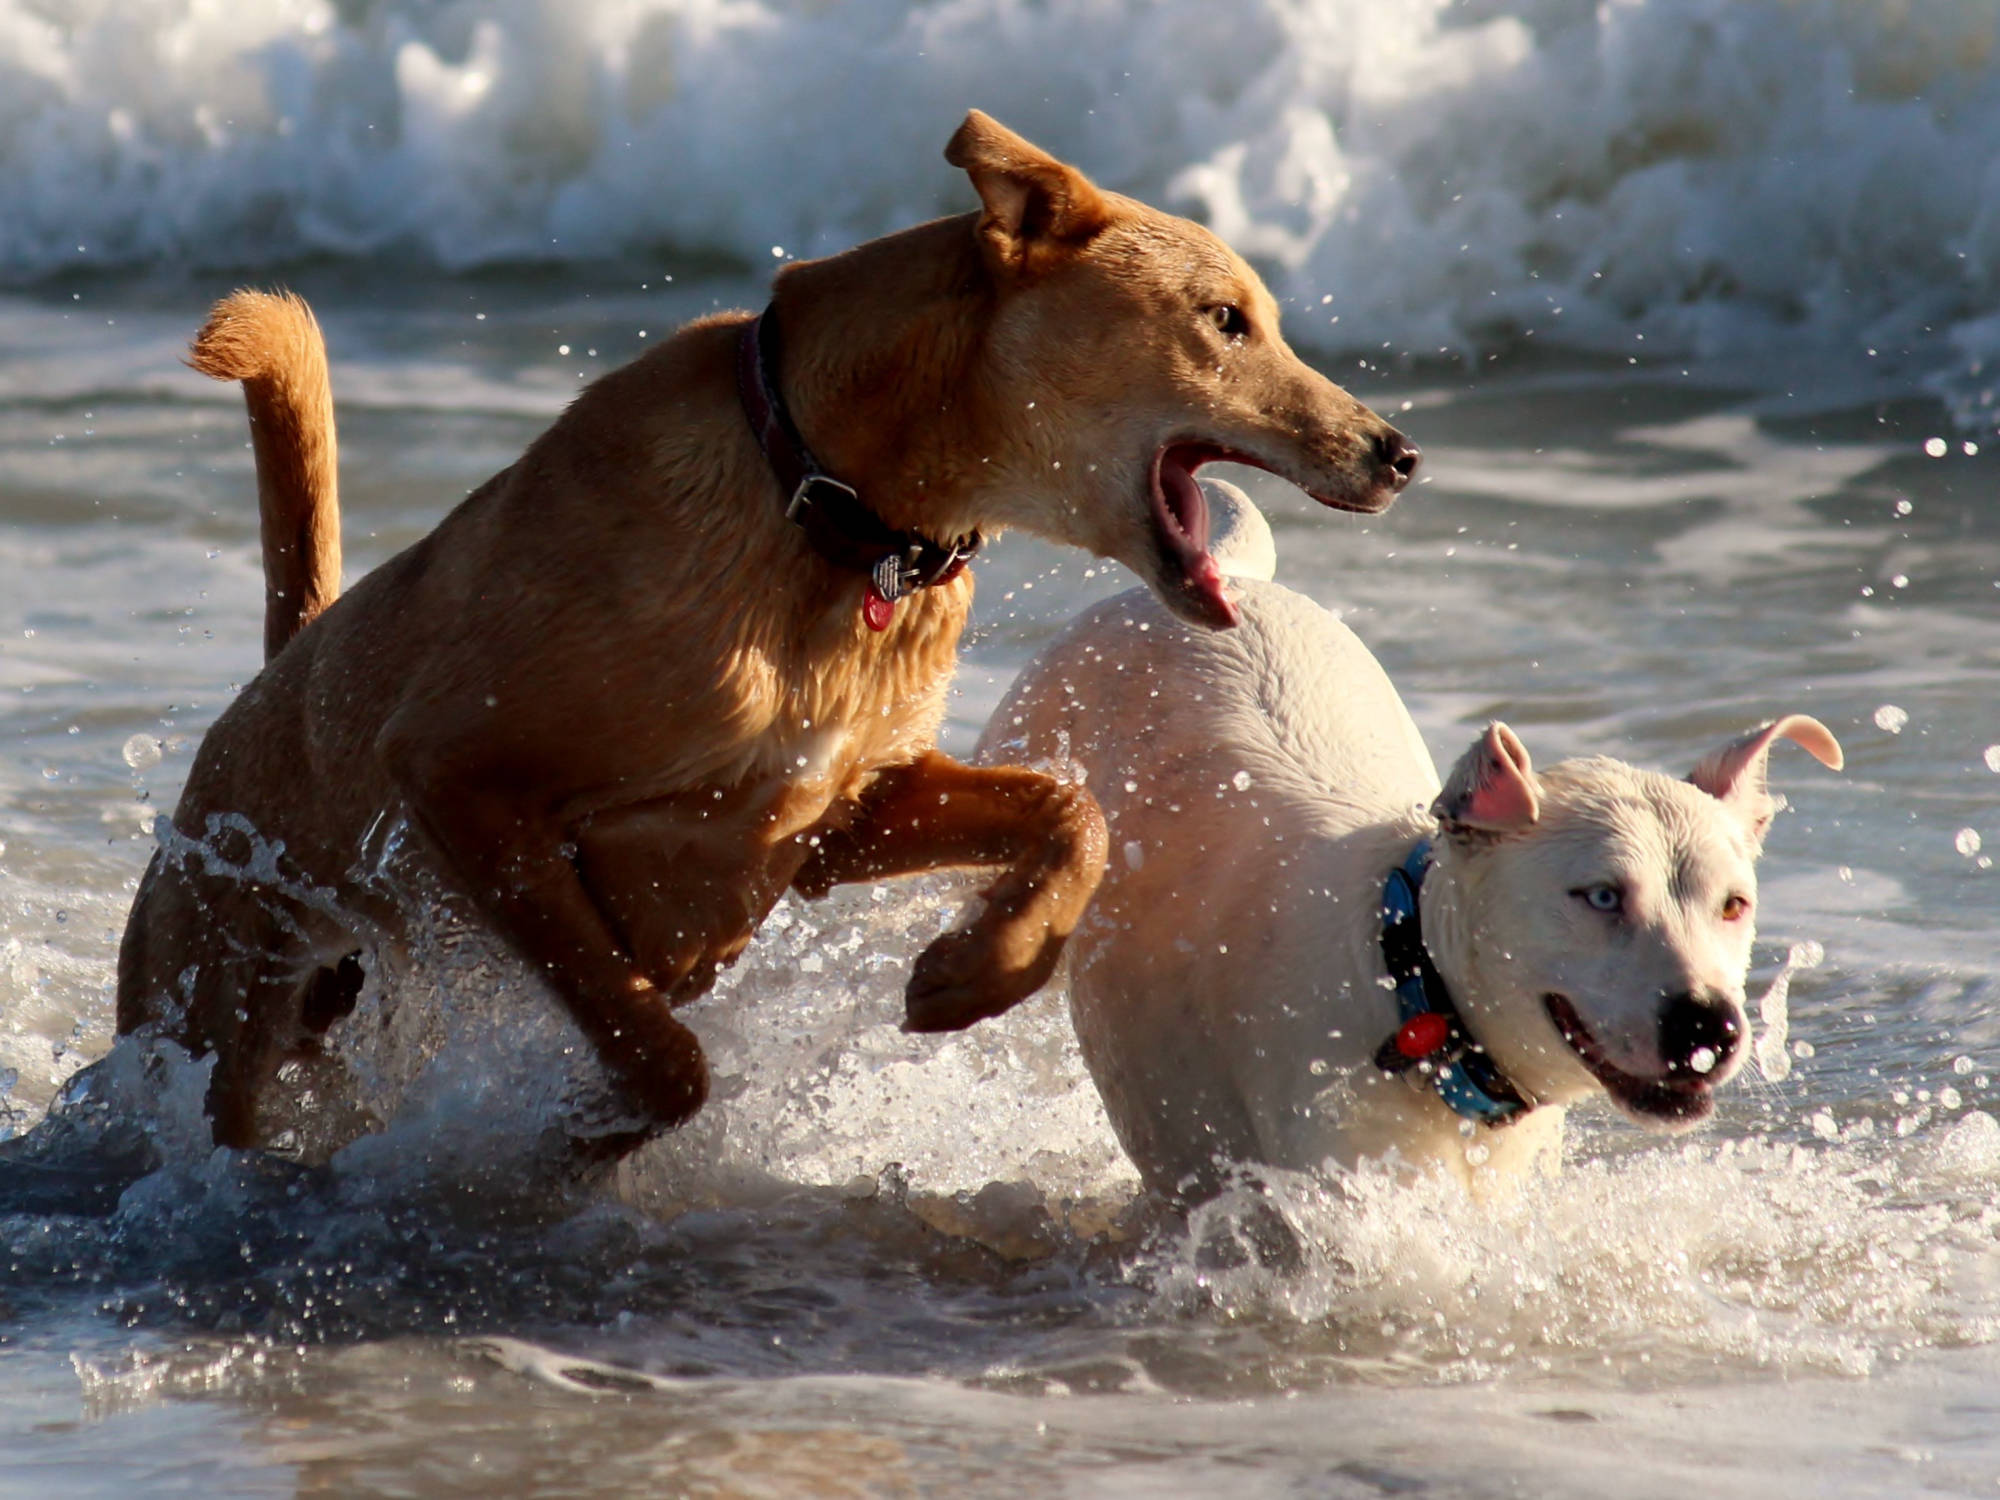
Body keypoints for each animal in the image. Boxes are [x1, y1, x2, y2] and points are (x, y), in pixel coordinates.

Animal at [113, 111, 1424, 1160]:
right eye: (1224, 320)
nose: (1398, 451)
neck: (833, 511)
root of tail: (276, 677)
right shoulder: (459, 777)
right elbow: (656, 1043)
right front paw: (583, 1129)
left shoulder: (836, 813)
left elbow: (1070, 811)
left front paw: (979, 971)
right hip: (206, 993)